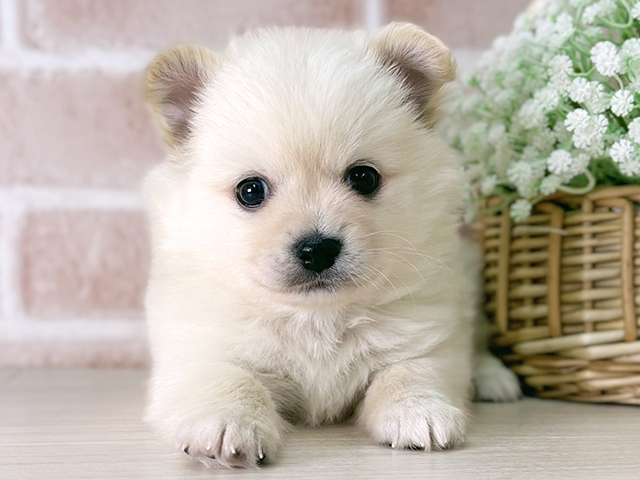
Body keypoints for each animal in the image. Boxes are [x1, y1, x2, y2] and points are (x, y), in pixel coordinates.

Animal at [142, 23, 521, 469]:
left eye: (364, 178)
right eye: (250, 191)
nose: (317, 248)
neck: (316, 318)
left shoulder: (429, 332)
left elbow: (410, 370)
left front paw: (419, 411)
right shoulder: (197, 348)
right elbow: (229, 378)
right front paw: (228, 425)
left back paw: (494, 378)